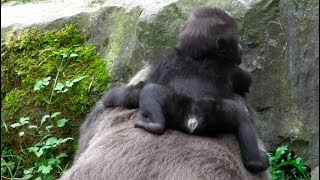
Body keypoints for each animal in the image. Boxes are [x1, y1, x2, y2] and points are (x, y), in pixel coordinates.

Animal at [102, 7, 270, 173]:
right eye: (236, 42)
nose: (241, 50)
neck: (199, 55)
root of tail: (193, 118)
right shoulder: (233, 69)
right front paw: (111, 97)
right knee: (241, 117)